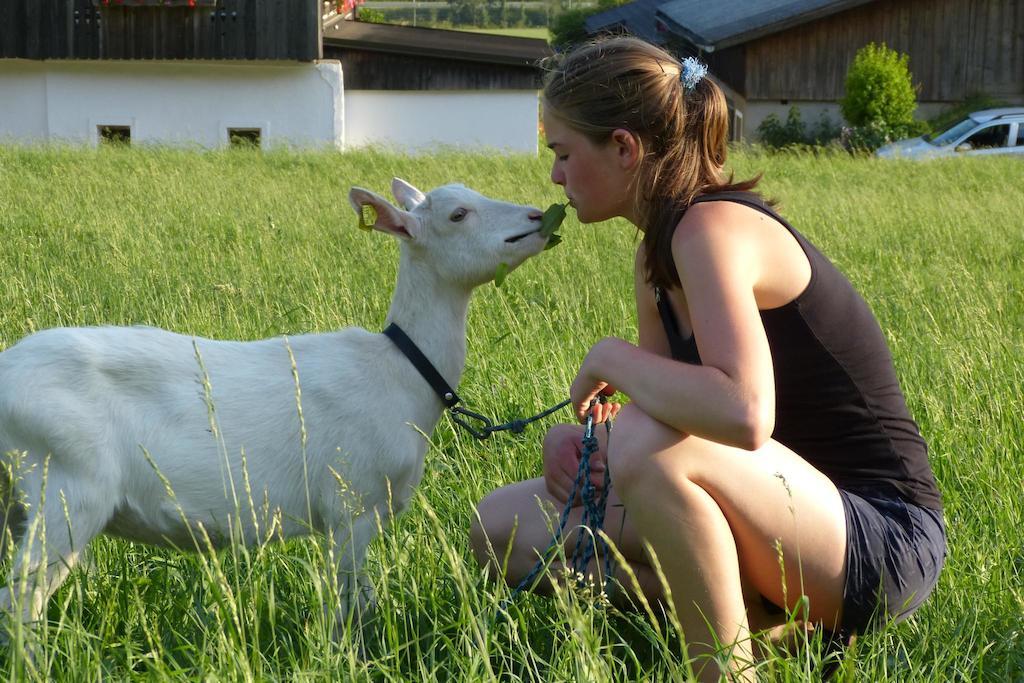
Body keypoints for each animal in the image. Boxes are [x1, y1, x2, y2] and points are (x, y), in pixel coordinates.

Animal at [0, 178, 552, 630]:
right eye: (459, 214)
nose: (536, 217)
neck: (402, 372)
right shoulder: (350, 504)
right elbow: (348, 605)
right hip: (65, 484)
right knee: (21, 601)